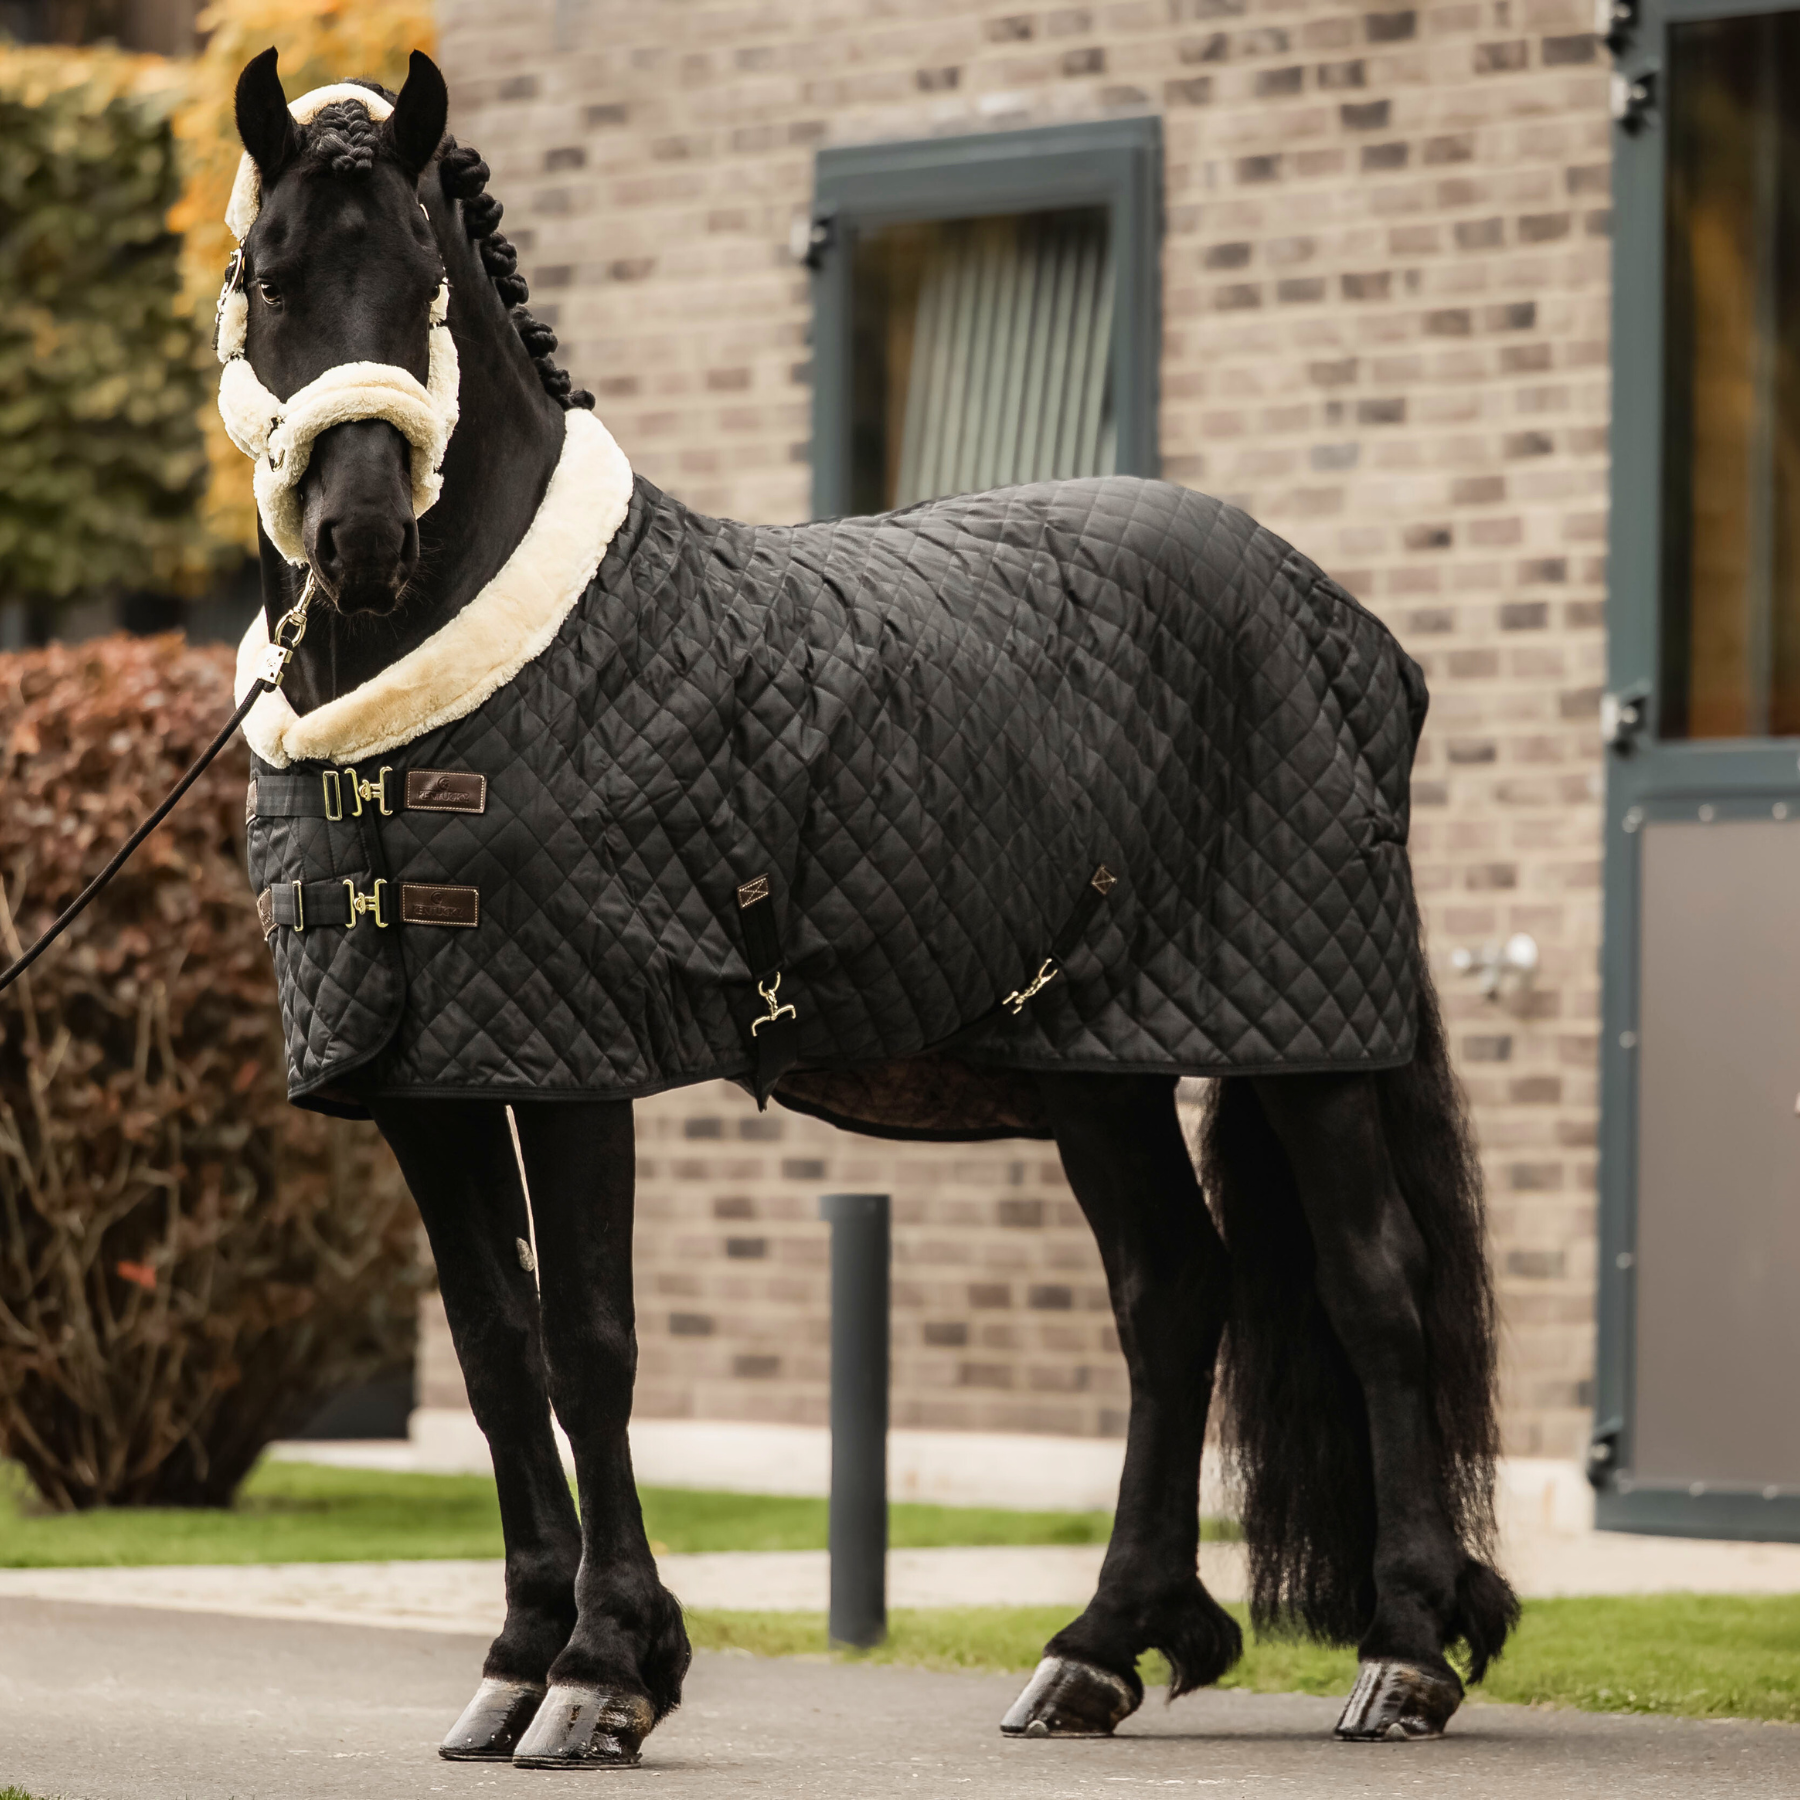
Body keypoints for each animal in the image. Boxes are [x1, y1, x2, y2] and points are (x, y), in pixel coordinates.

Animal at [225, 49, 1519, 1764]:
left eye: (425, 279)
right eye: (272, 274)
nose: (362, 538)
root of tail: (1344, 624)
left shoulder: (573, 1061)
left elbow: (589, 1346)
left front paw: (606, 1670)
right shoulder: (423, 1076)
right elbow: (498, 1354)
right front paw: (516, 1656)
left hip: (1306, 1040)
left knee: (1375, 1289)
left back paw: (1405, 1652)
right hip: (1090, 1060)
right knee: (1174, 1294)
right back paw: (1102, 1648)